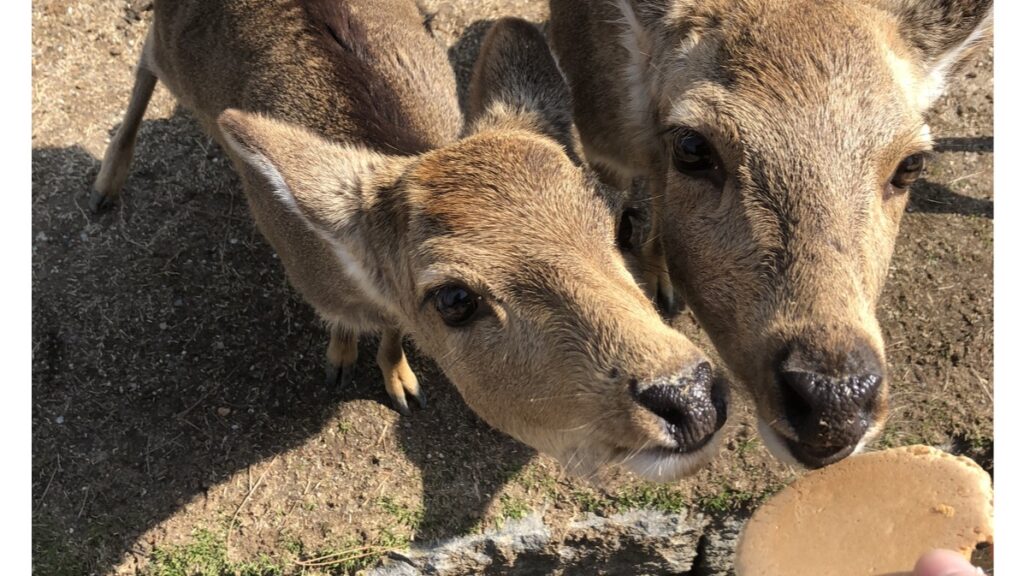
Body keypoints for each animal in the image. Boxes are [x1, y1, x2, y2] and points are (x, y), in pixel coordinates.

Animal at [90, 1, 729, 479]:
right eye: (454, 299)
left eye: (617, 222)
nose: (690, 398)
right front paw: (341, 361)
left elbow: (392, 333)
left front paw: (399, 382)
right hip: (170, 50)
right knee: (144, 58)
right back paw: (104, 187)